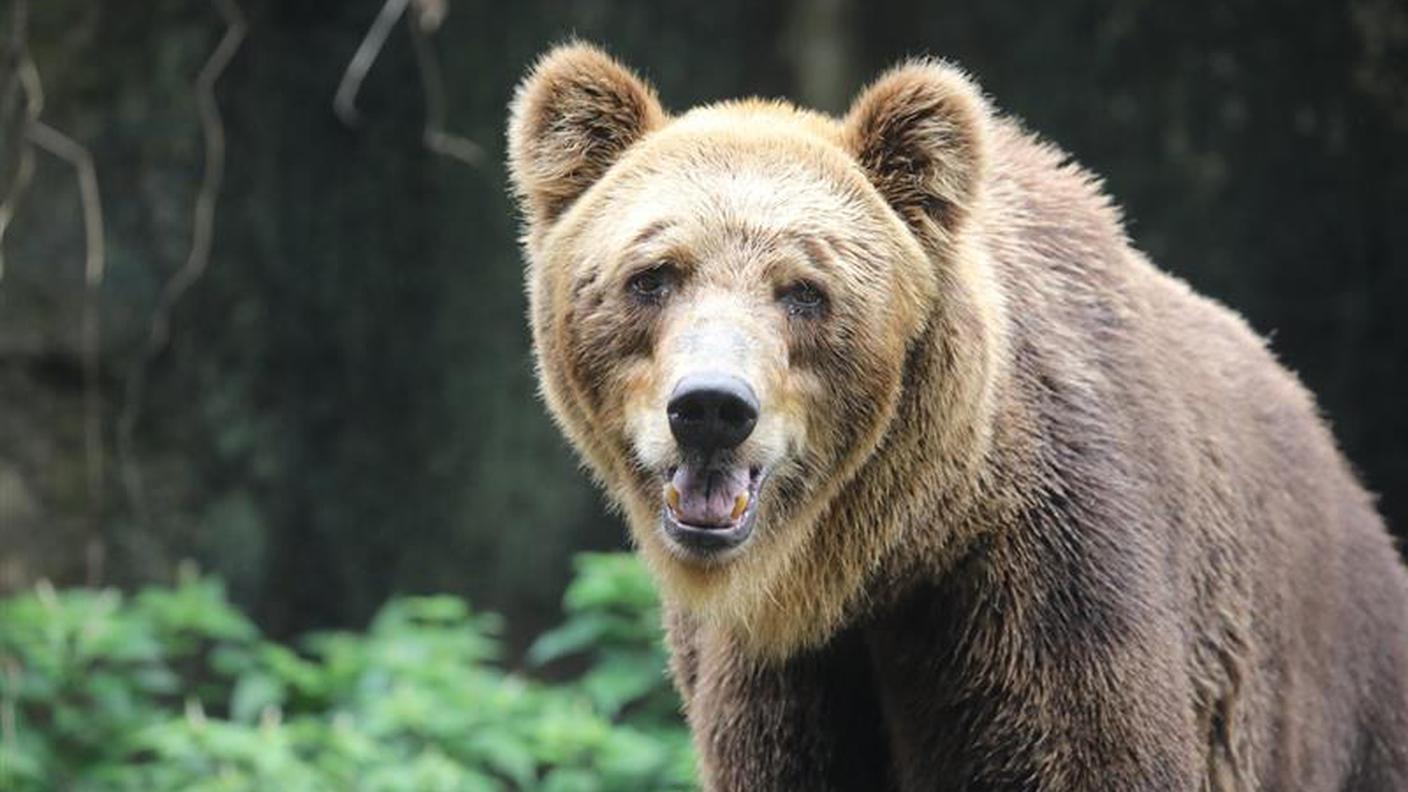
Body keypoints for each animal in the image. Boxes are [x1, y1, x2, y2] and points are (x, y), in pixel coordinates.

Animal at [506, 43, 1408, 791]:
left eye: (805, 291)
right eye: (653, 274)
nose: (711, 408)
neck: (872, 560)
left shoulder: (1049, 579)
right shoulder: (777, 677)